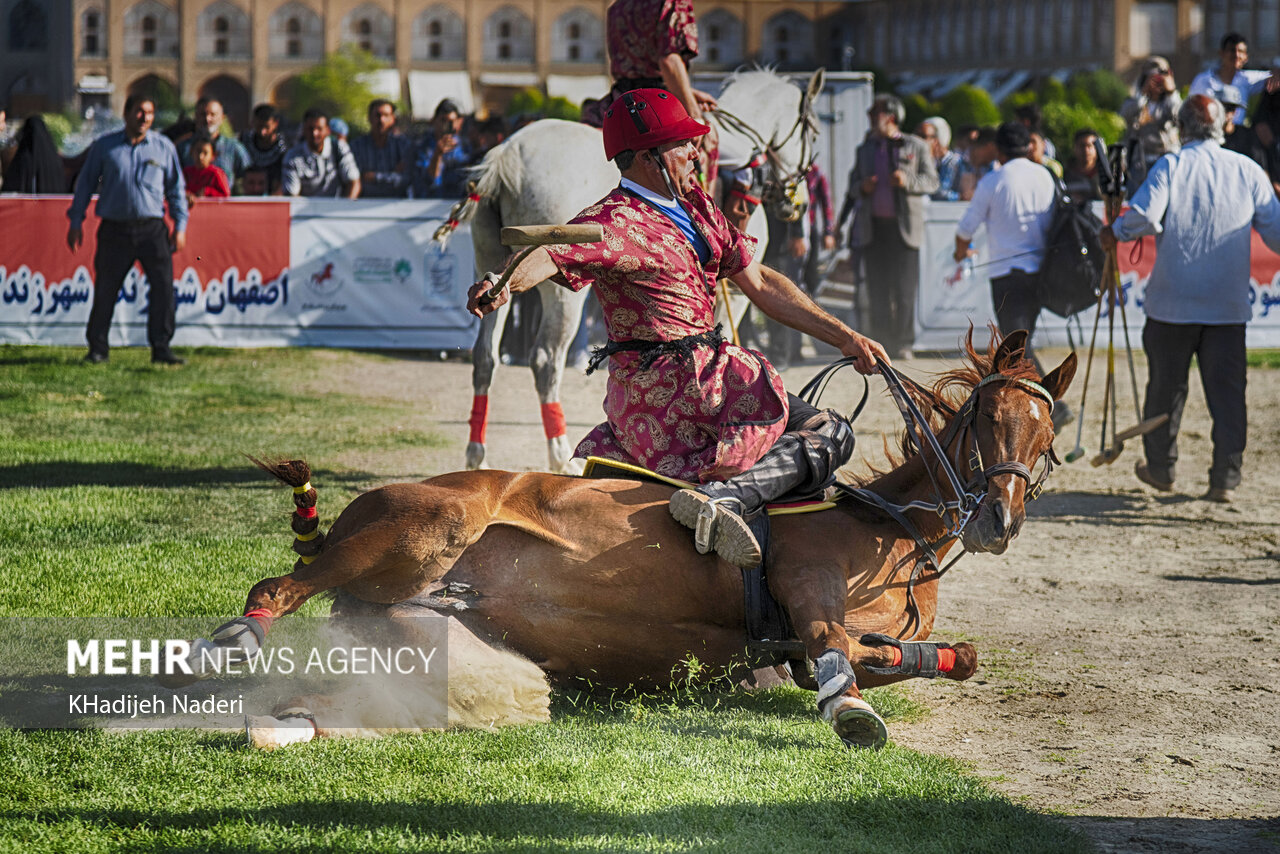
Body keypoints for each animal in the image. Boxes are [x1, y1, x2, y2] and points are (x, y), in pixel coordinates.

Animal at [170, 330, 1070, 752]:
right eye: (989, 417)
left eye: (1048, 431)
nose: (997, 519)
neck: (888, 529)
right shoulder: (811, 596)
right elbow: (838, 650)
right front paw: (846, 707)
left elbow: (941, 656)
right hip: (428, 525)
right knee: (279, 587)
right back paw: (231, 640)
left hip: (431, 645)